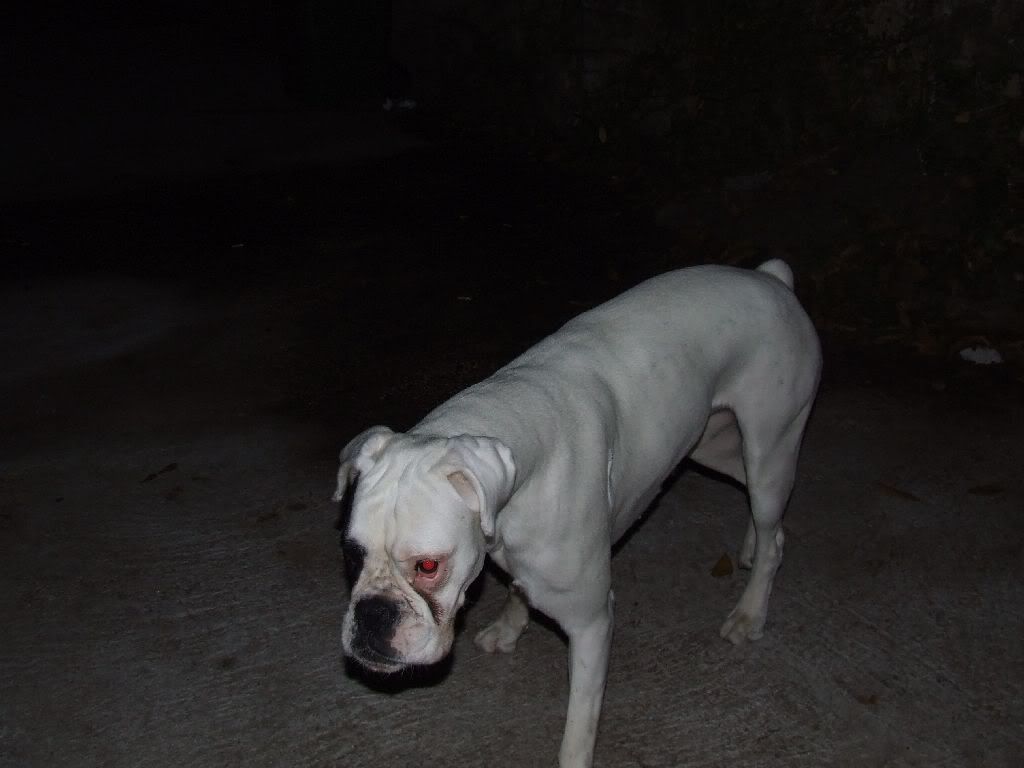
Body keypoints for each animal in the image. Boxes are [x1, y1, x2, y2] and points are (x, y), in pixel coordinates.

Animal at [333, 260, 821, 767]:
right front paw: (510, 626)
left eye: (428, 566)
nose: (372, 616)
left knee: (774, 533)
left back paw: (750, 611)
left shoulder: (591, 625)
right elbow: (518, 589)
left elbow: (579, 726)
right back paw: (749, 549)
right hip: (715, 446)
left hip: (769, 450)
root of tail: (770, 279)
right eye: (351, 555)